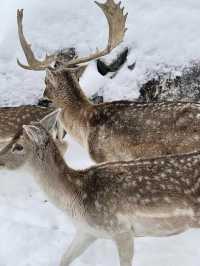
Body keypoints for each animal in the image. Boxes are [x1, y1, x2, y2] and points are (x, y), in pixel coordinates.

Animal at [0, 110, 200, 266]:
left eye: (18, 146)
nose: (0, 159)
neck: (76, 199)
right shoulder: (87, 232)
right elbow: (64, 258)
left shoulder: (121, 230)